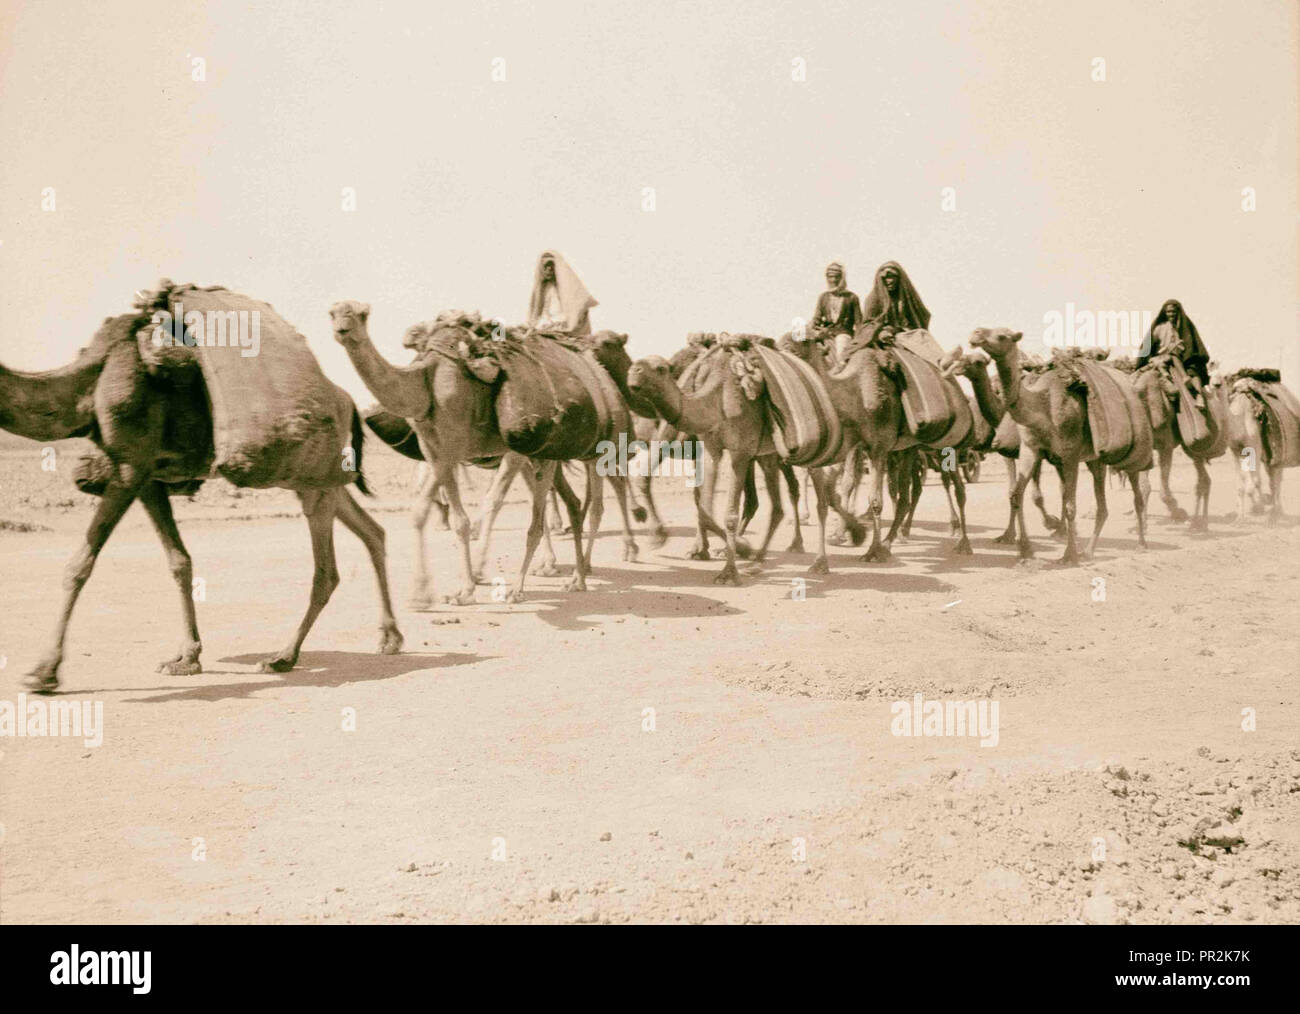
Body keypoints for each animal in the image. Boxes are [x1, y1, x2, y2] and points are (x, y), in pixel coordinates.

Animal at [1, 292, 400, 691]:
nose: (82, 476)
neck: (91, 380)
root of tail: (349, 403)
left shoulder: (129, 467)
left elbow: (79, 565)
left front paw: (43, 671)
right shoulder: (148, 477)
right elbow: (179, 562)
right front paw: (186, 658)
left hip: (316, 477)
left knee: (327, 570)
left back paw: (282, 657)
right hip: (316, 478)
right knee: (372, 531)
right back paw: (389, 638)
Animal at [624, 340, 857, 582]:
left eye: (660, 368)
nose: (633, 371)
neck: (717, 399)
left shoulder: (740, 452)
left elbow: (728, 514)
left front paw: (729, 571)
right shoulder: (711, 449)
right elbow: (704, 508)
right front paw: (731, 548)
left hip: (807, 449)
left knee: (819, 499)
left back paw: (820, 562)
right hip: (768, 454)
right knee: (777, 506)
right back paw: (757, 560)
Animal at [961, 328, 1144, 561]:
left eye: (1002, 336)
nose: (976, 334)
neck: (1042, 405)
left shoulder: (1068, 454)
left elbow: (1059, 501)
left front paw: (1065, 549)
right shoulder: (1028, 451)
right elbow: (1016, 493)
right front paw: (1019, 544)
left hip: (1126, 455)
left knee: (1137, 493)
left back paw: (1140, 542)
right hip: (1093, 459)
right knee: (1100, 502)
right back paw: (1088, 549)